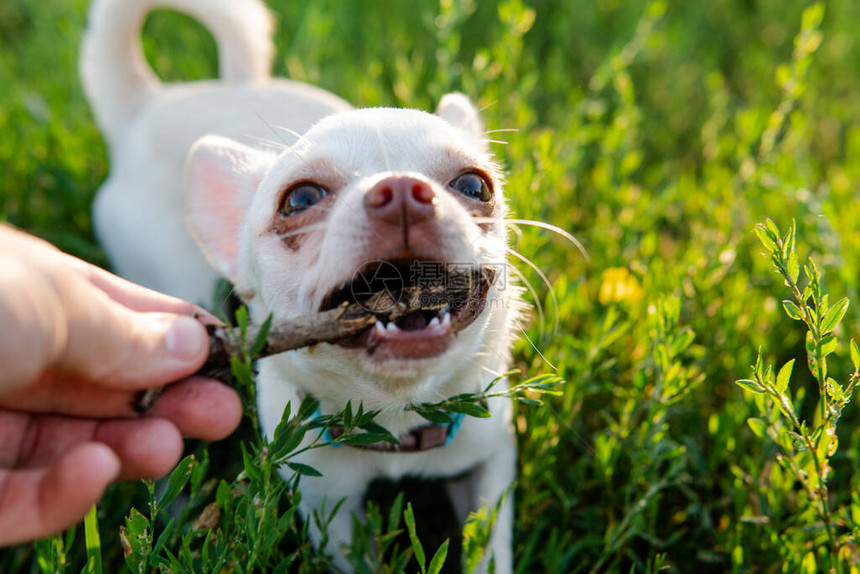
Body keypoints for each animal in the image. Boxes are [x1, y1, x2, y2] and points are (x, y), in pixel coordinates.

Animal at [84, 2, 520, 572]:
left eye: (475, 185)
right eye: (300, 199)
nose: (402, 189)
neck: (395, 418)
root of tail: (147, 103)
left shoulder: (489, 460)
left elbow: (490, 544)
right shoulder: (327, 506)